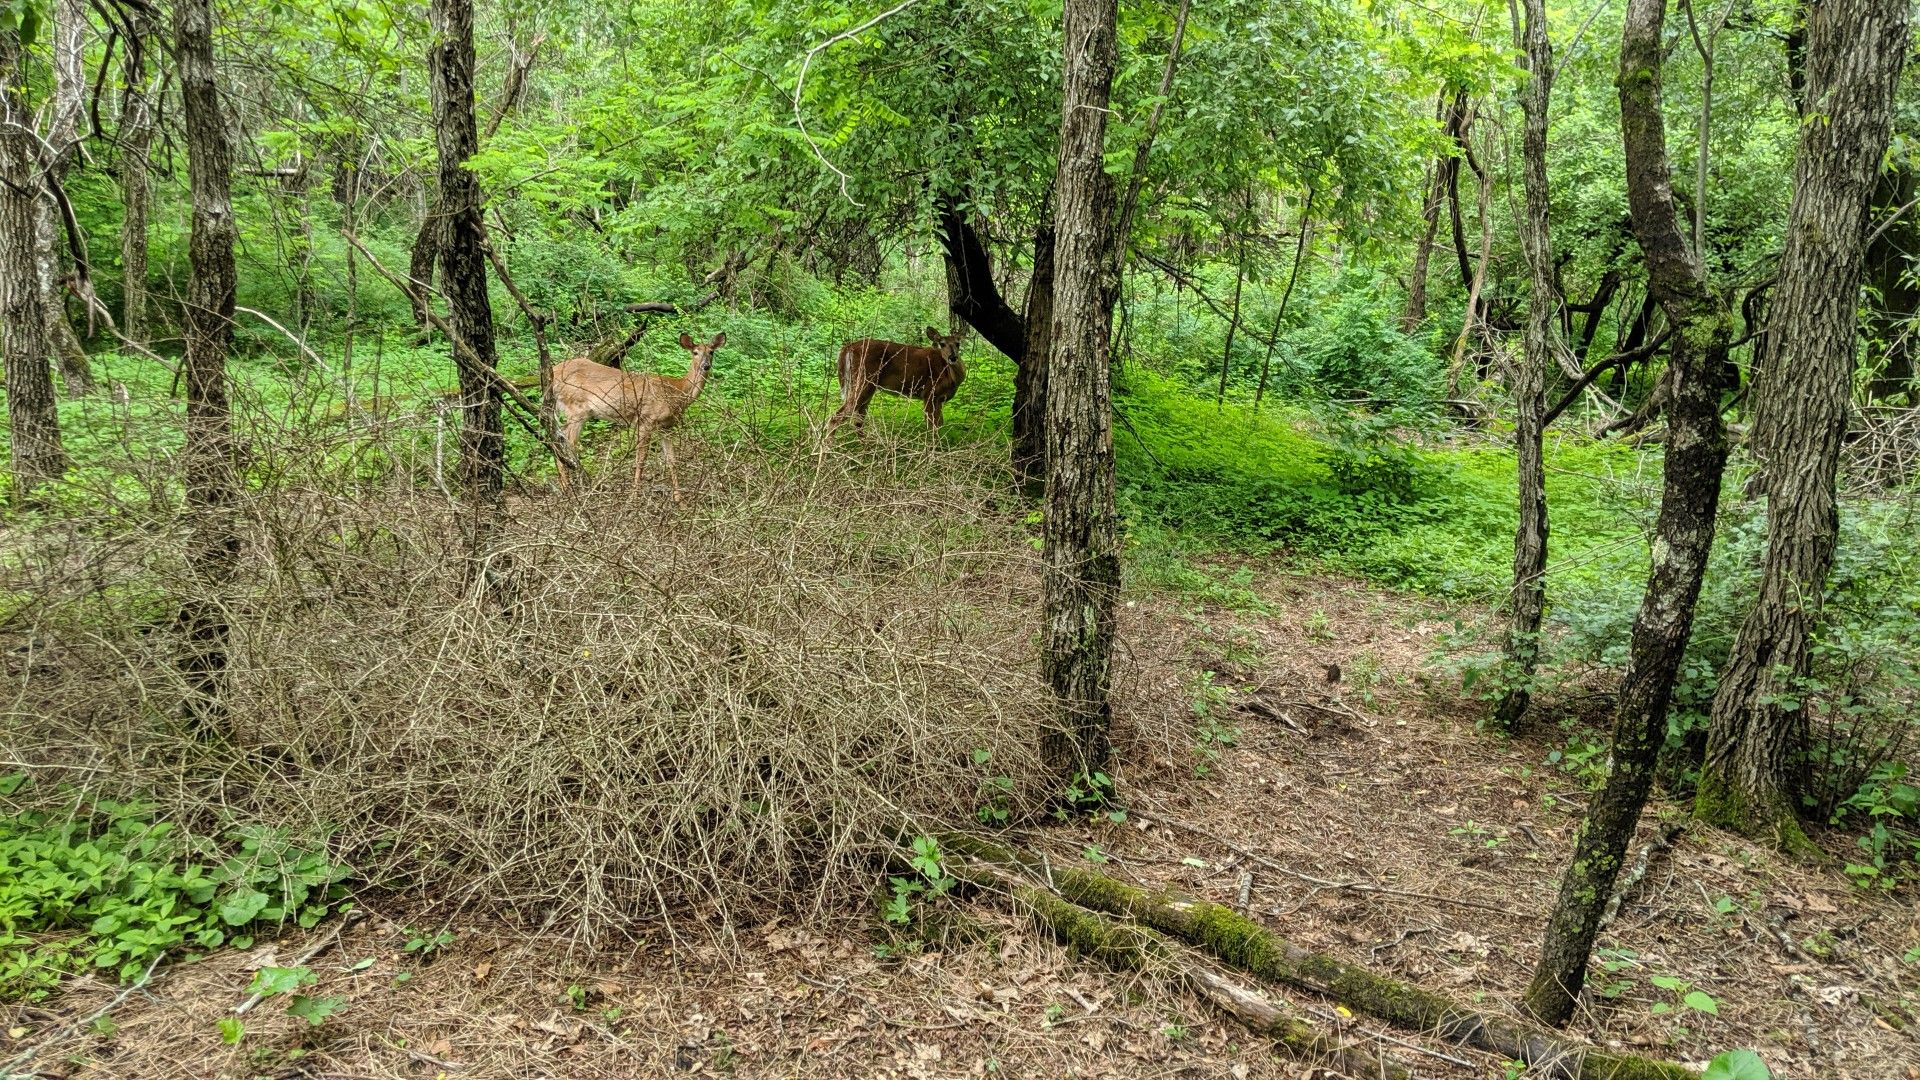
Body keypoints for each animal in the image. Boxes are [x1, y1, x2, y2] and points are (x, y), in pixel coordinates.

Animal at [550, 332, 725, 502]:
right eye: (695, 352)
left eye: (711, 351)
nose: (706, 366)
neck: (677, 392)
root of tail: (553, 372)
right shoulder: (646, 420)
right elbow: (641, 459)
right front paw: (633, 497)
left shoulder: (666, 427)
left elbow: (672, 461)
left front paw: (679, 500)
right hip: (575, 408)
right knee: (567, 443)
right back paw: (569, 489)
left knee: (559, 439)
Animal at [822, 327, 966, 440]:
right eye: (942, 344)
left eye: (958, 343)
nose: (953, 357)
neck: (950, 375)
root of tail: (846, 349)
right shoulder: (930, 392)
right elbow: (932, 426)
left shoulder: (939, 399)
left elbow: (940, 423)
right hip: (862, 380)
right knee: (836, 418)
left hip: (866, 387)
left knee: (858, 420)